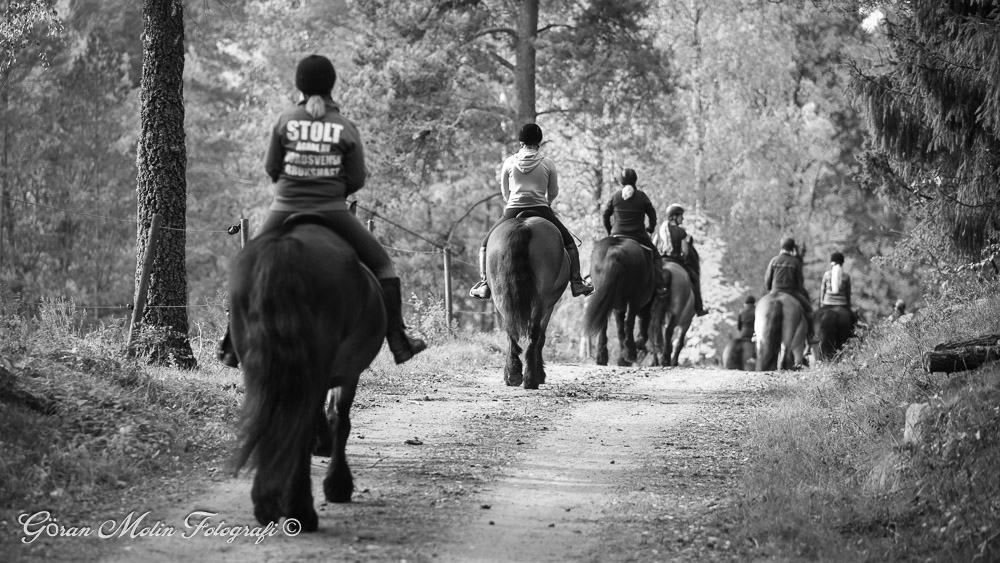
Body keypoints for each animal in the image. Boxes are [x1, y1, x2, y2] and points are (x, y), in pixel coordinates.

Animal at [229, 215, 386, 532]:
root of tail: (285, 248)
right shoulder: (346, 371)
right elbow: (340, 418)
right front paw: (338, 484)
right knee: (301, 424)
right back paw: (300, 509)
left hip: (260, 366)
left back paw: (269, 503)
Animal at [485, 213, 569, 389]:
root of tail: (522, 225)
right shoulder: (550, 305)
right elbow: (542, 338)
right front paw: (541, 373)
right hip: (541, 298)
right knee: (534, 332)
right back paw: (532, 378)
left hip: (500, 294)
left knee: (511, 332)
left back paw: (513, 375)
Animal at [584, 236, 657, 366]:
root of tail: (615, 250)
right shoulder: (643, 308)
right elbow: (639, 330)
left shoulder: (618, 309)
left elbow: (619, 330)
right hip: (634, 299)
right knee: (629, 322)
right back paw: (630, 355)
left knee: (604, 325)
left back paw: (602, 357)